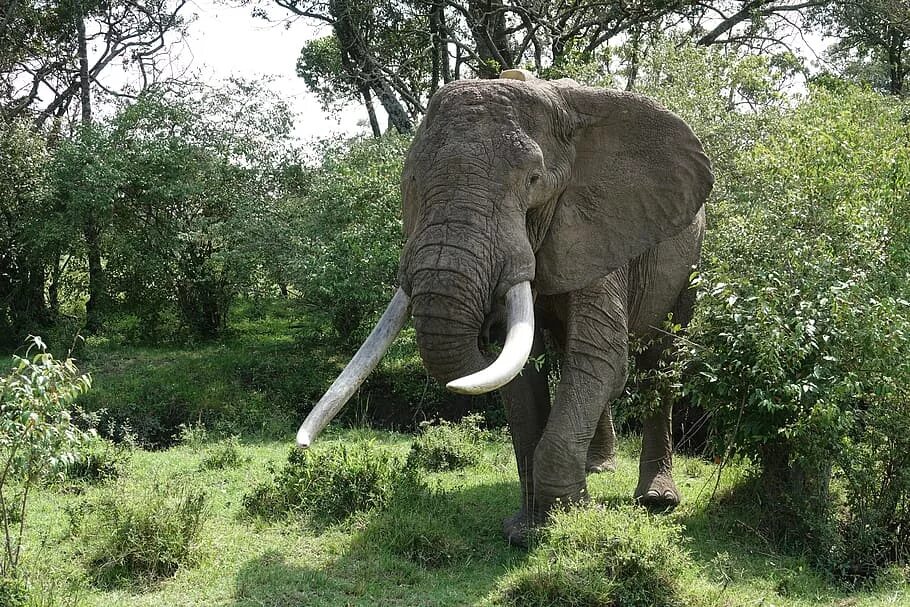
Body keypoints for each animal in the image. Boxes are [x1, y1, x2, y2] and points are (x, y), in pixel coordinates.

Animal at [296, 70, 716, 548]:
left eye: (533, 179)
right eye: (411, 182)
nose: (301, 450)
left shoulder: (598, 225)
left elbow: (601, 359)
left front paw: (568, 520)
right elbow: (522, 370)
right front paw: (528, 529)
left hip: (691, 260)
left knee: (662, 364)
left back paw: (657, 499)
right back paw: (598, 468)